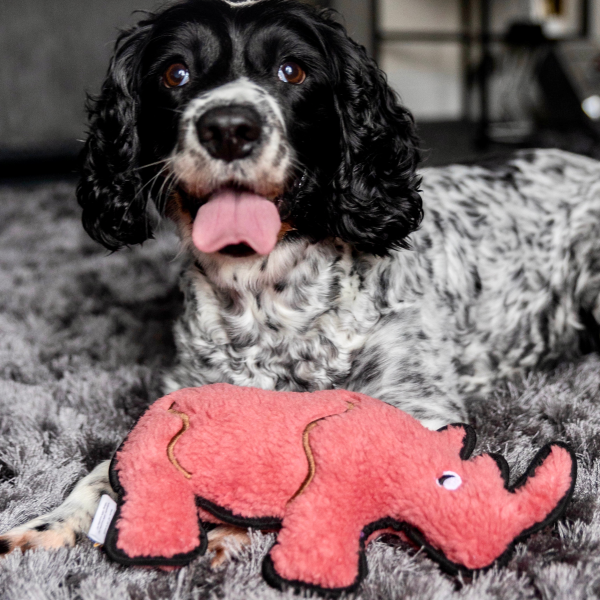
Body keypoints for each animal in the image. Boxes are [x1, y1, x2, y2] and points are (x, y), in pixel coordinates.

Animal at [1, 0, 600, 560]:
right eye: (176, 72)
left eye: (292, 70)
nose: (229, 128)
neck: (267, 297)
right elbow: (106, 471)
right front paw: (45, 524)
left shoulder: (416, 410)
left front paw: (232, 528)